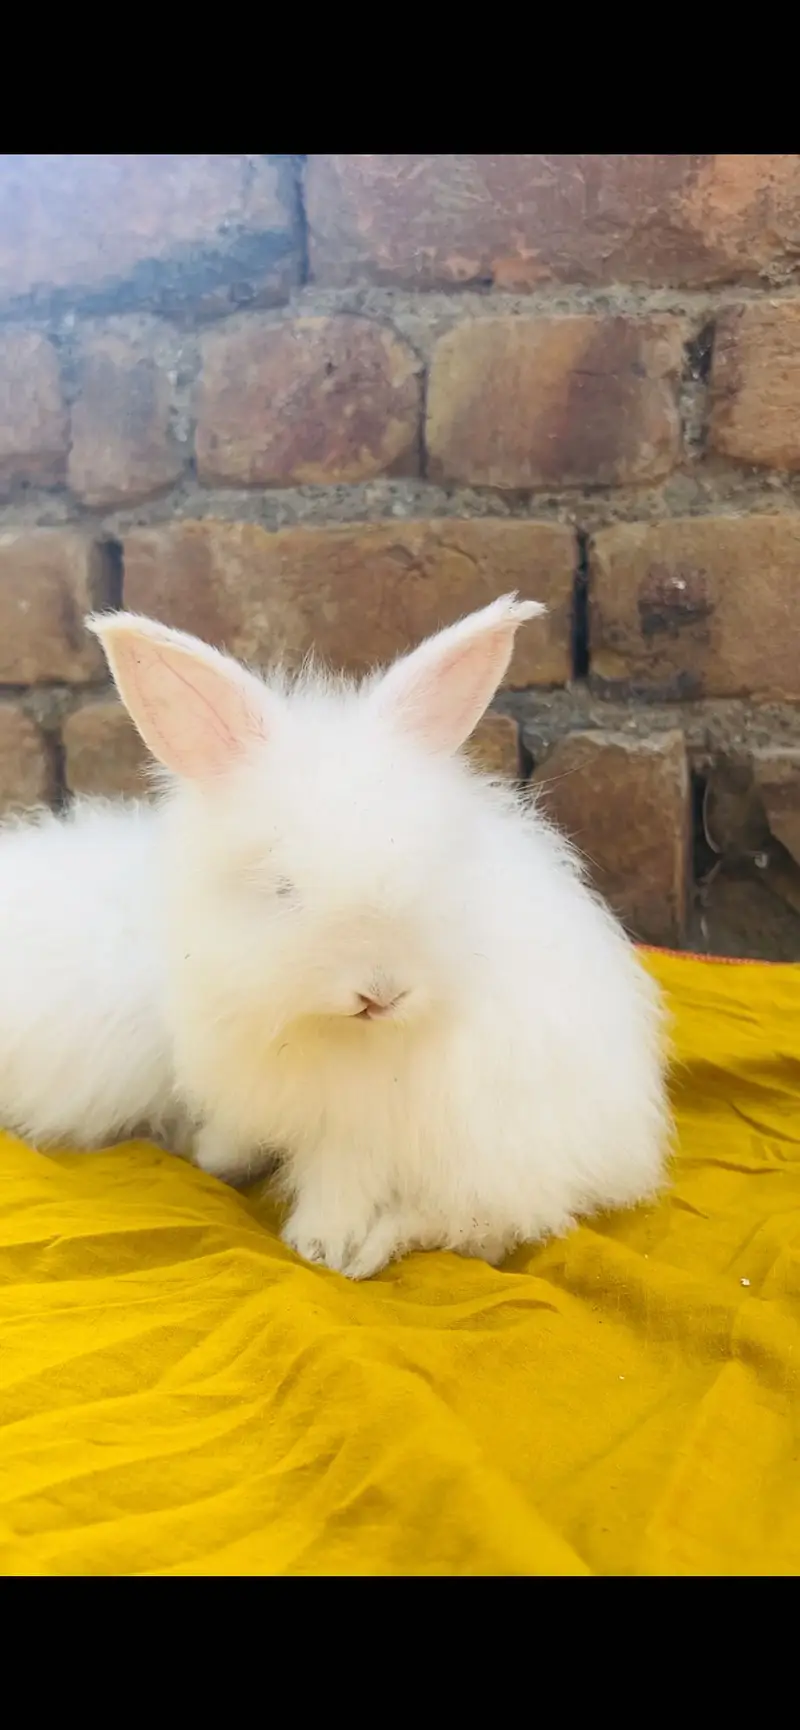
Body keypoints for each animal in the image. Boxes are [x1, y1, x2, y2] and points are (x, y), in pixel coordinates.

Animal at [0, 594, 670, 1279]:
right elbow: (242, 1134)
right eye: (282, 887)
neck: (335, 1035)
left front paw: (319, 1246)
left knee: (470, 1226)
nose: (382, 993)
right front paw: (215, 1158)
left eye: (433, 866)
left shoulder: (363, 1131)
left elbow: (343, 1183)